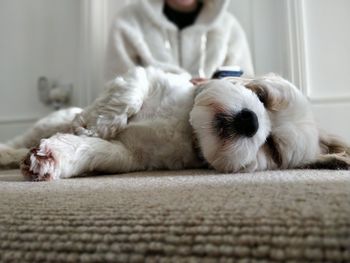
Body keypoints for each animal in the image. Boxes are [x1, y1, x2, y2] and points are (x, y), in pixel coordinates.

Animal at [0, 67, 350, 182]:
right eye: (262, 96)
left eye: (273, 148)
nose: (249, 121)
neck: (187, 127)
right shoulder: (145, 76)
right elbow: (127, 95)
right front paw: (97, 123)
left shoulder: (130, 156)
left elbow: (94, 149)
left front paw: (53, 158)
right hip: (50, 119)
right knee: (20, 140)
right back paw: (6, 152)